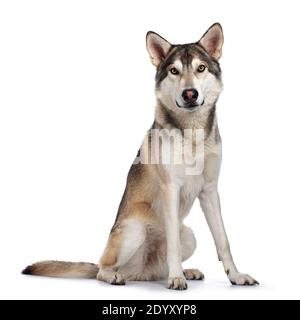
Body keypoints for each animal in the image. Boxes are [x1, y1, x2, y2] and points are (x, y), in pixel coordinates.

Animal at [22, 23, 258, 290]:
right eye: (174, 71)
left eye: (201, 68)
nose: (190, 94)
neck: (192, 134)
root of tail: (140, 271)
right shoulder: (171, 189)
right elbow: (174, 244)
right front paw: (176, 279)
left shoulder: (210, 191)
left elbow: (223, 241)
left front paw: (235, 276)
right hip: (134, 230)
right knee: (103, 269)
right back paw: (122, 276)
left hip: (189, 236)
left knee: (158, 267)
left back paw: (184, 271)